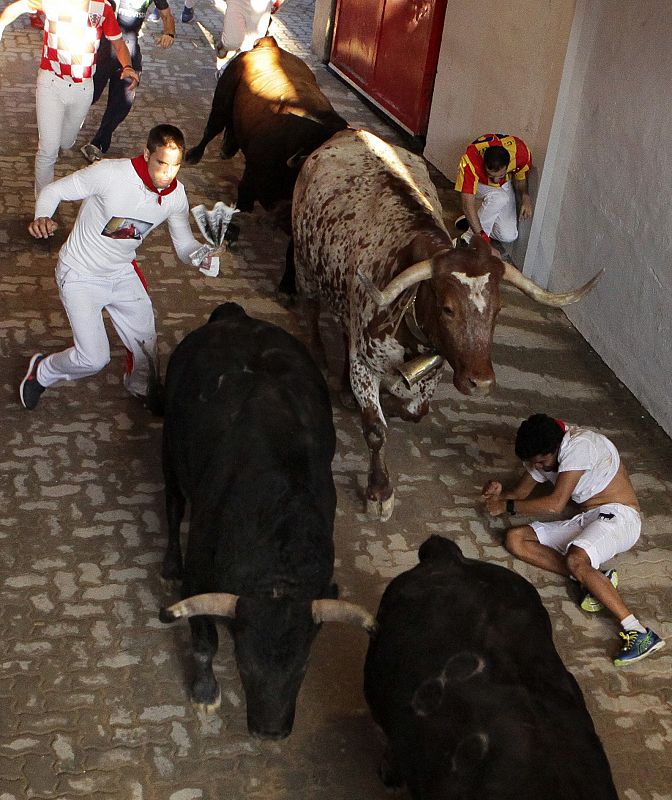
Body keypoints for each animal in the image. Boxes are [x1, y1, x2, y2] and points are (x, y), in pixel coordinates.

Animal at [159, 304, 376, 736]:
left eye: (304, 666)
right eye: (243, 664)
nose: (270, 731)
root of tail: (235, 316)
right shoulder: (199, 575)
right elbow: (204, 641)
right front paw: (205, 693)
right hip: (169, 453)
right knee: (173, 504)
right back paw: (170, 563)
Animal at [292, 129, 600, 520]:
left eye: (498, 309)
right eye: (447, 308)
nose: (481, 383)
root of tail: (350, 131)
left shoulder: (432, 369)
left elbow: (414, 410)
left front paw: (390, 399)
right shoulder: (365, 362)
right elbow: (376, 429)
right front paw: (379, 491)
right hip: (304, 268)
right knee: (311, 308)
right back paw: (320, 354)